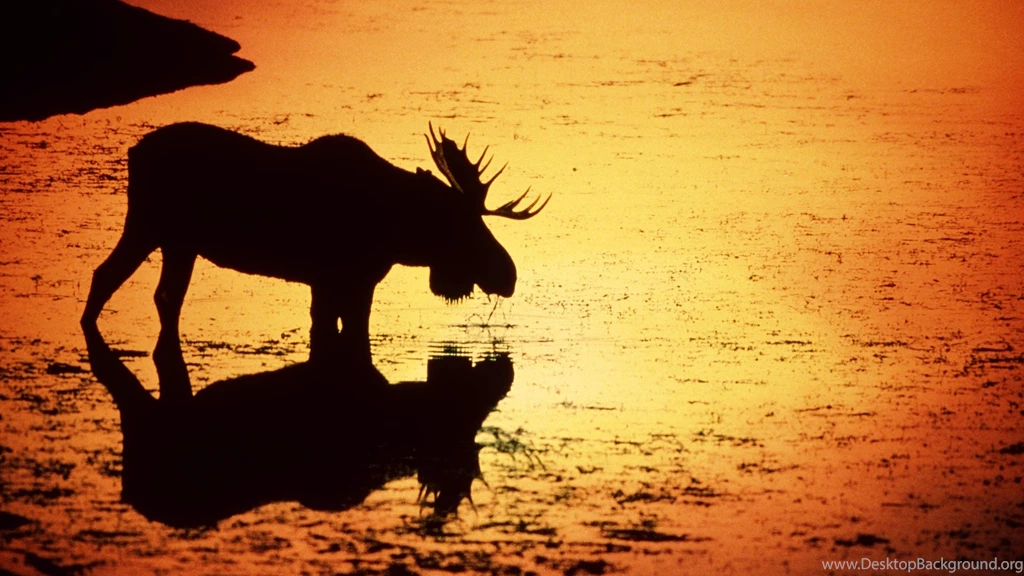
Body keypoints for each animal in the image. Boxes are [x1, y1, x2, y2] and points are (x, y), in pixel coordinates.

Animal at [80, 122, 547, 396]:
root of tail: (133, 154)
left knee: (148, 291)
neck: (397, 229)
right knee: (115, 280)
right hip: (153, 228)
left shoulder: (332, 283)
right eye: (466, 225)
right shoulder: (344, 279)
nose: (508, 275)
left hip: (175, 242)